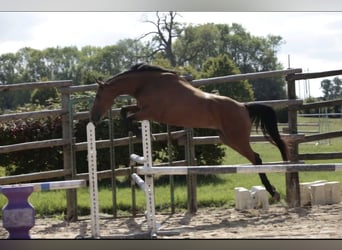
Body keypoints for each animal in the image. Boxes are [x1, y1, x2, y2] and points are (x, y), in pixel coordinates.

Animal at [89, 63, 288, 200]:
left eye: (98, 95)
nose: (93, 118)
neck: (147, 83)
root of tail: (243, 107)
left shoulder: (150, 112)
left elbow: (128, 117)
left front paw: (140, 132)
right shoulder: (141, 107)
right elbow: (124, 111)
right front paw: (139, 131)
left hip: (237, 139)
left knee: (257, 159)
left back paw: (273, 192)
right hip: (228, 139)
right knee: (255, 159)